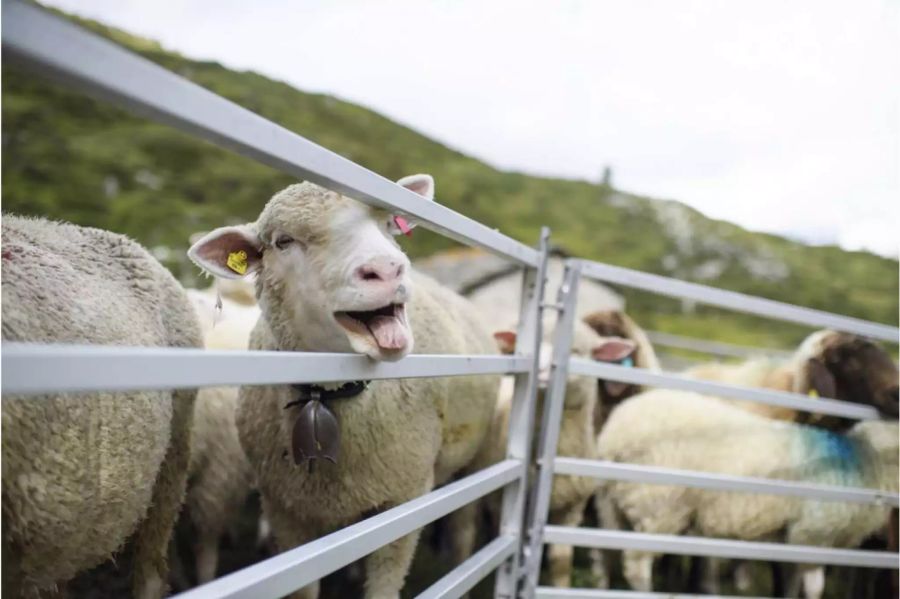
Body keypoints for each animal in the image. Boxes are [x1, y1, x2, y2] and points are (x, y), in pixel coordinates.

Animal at [186, 174, 500, 599]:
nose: (387, 269)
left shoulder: (404, 501)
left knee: (465, 528)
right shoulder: (287, 510)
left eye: (388, 224)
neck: (328, 395)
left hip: (475, 458)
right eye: (283, 241)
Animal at [596, 389, 899, 598]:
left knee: (605, 552)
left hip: (613, 502)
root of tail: (616, 432)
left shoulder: (791, 536)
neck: (867, 460)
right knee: (636, 565)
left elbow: (790, 582)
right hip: (659, 505)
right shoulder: (812, 534)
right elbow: (814, 587)